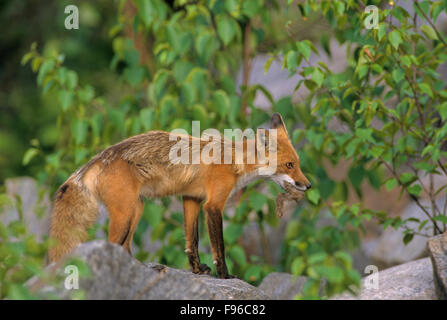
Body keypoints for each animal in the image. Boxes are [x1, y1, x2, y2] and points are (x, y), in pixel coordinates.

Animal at [47, 114, 310, 278]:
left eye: (298, 164)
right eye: (289, 165)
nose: (307, 185)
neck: (235, 161)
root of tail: (102, 155)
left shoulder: (191, 199)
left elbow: (191, 241)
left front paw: (197, 270)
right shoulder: (213, 205)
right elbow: (219, 247)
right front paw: (225, 276)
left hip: (137, 209)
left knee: (126, 246)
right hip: (125, 214)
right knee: (113, 245)